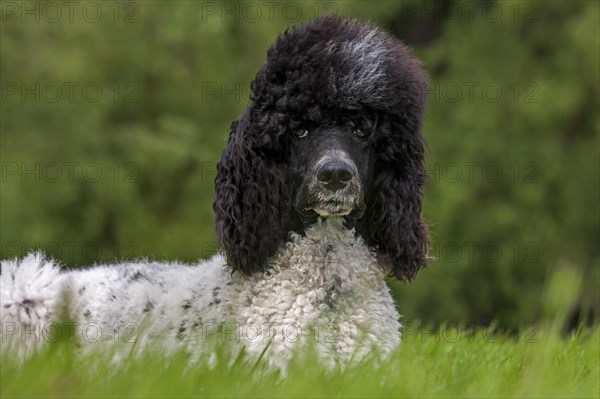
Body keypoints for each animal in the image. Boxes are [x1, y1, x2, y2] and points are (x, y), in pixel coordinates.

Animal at [1, 15, 432, 372]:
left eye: (361, 129)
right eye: (298, 130)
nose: (336, 175)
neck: (327, 282)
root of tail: (79, 276)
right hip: (28, 294)